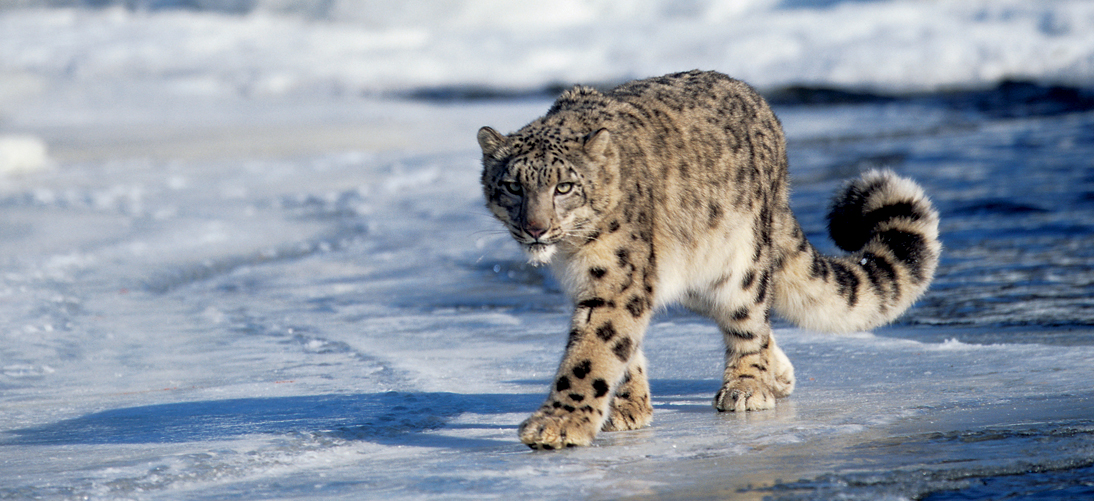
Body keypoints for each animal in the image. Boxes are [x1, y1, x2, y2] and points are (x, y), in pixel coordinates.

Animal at [476, 70, 940, 450]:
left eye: (565, 187)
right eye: (513, 186)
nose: (536, 228)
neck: (572, 254)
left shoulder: (618, 279)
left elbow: (593, 351)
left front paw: (557, 424)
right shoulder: (600, 284)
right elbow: (620, 345)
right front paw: (629, 406)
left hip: (737, 265)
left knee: (749, 319)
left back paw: (749, 386)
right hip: (690, 277)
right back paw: (780, 374)